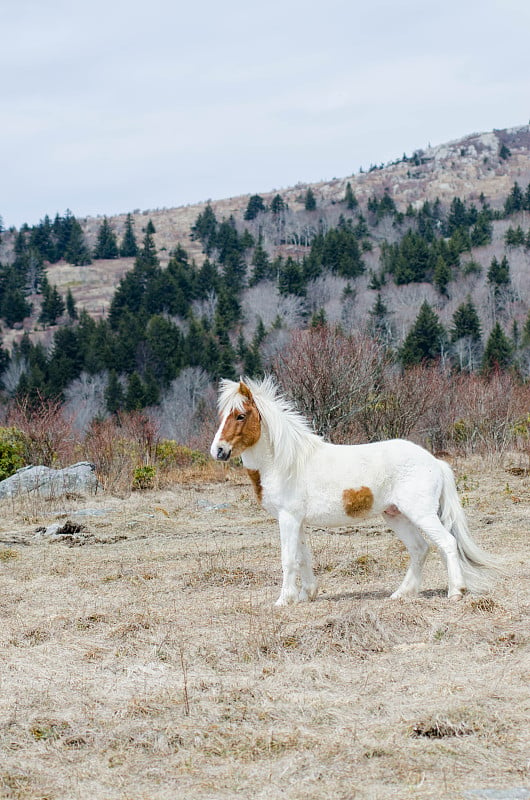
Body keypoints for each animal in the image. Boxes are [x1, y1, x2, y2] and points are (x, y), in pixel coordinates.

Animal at [208, 376, 498, 608]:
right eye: (221, 416)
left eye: (240, 415)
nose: (218, 451)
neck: (286, 463)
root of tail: (435, 462)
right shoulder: (297, 521)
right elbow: (303, 557)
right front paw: (307, 595)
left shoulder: (288, 519)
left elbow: (288, 558)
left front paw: (283, 601)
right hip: (395, 515)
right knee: (419, 549)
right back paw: (401, 594)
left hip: (421, 514)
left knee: (447, 543)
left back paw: (456, 592)